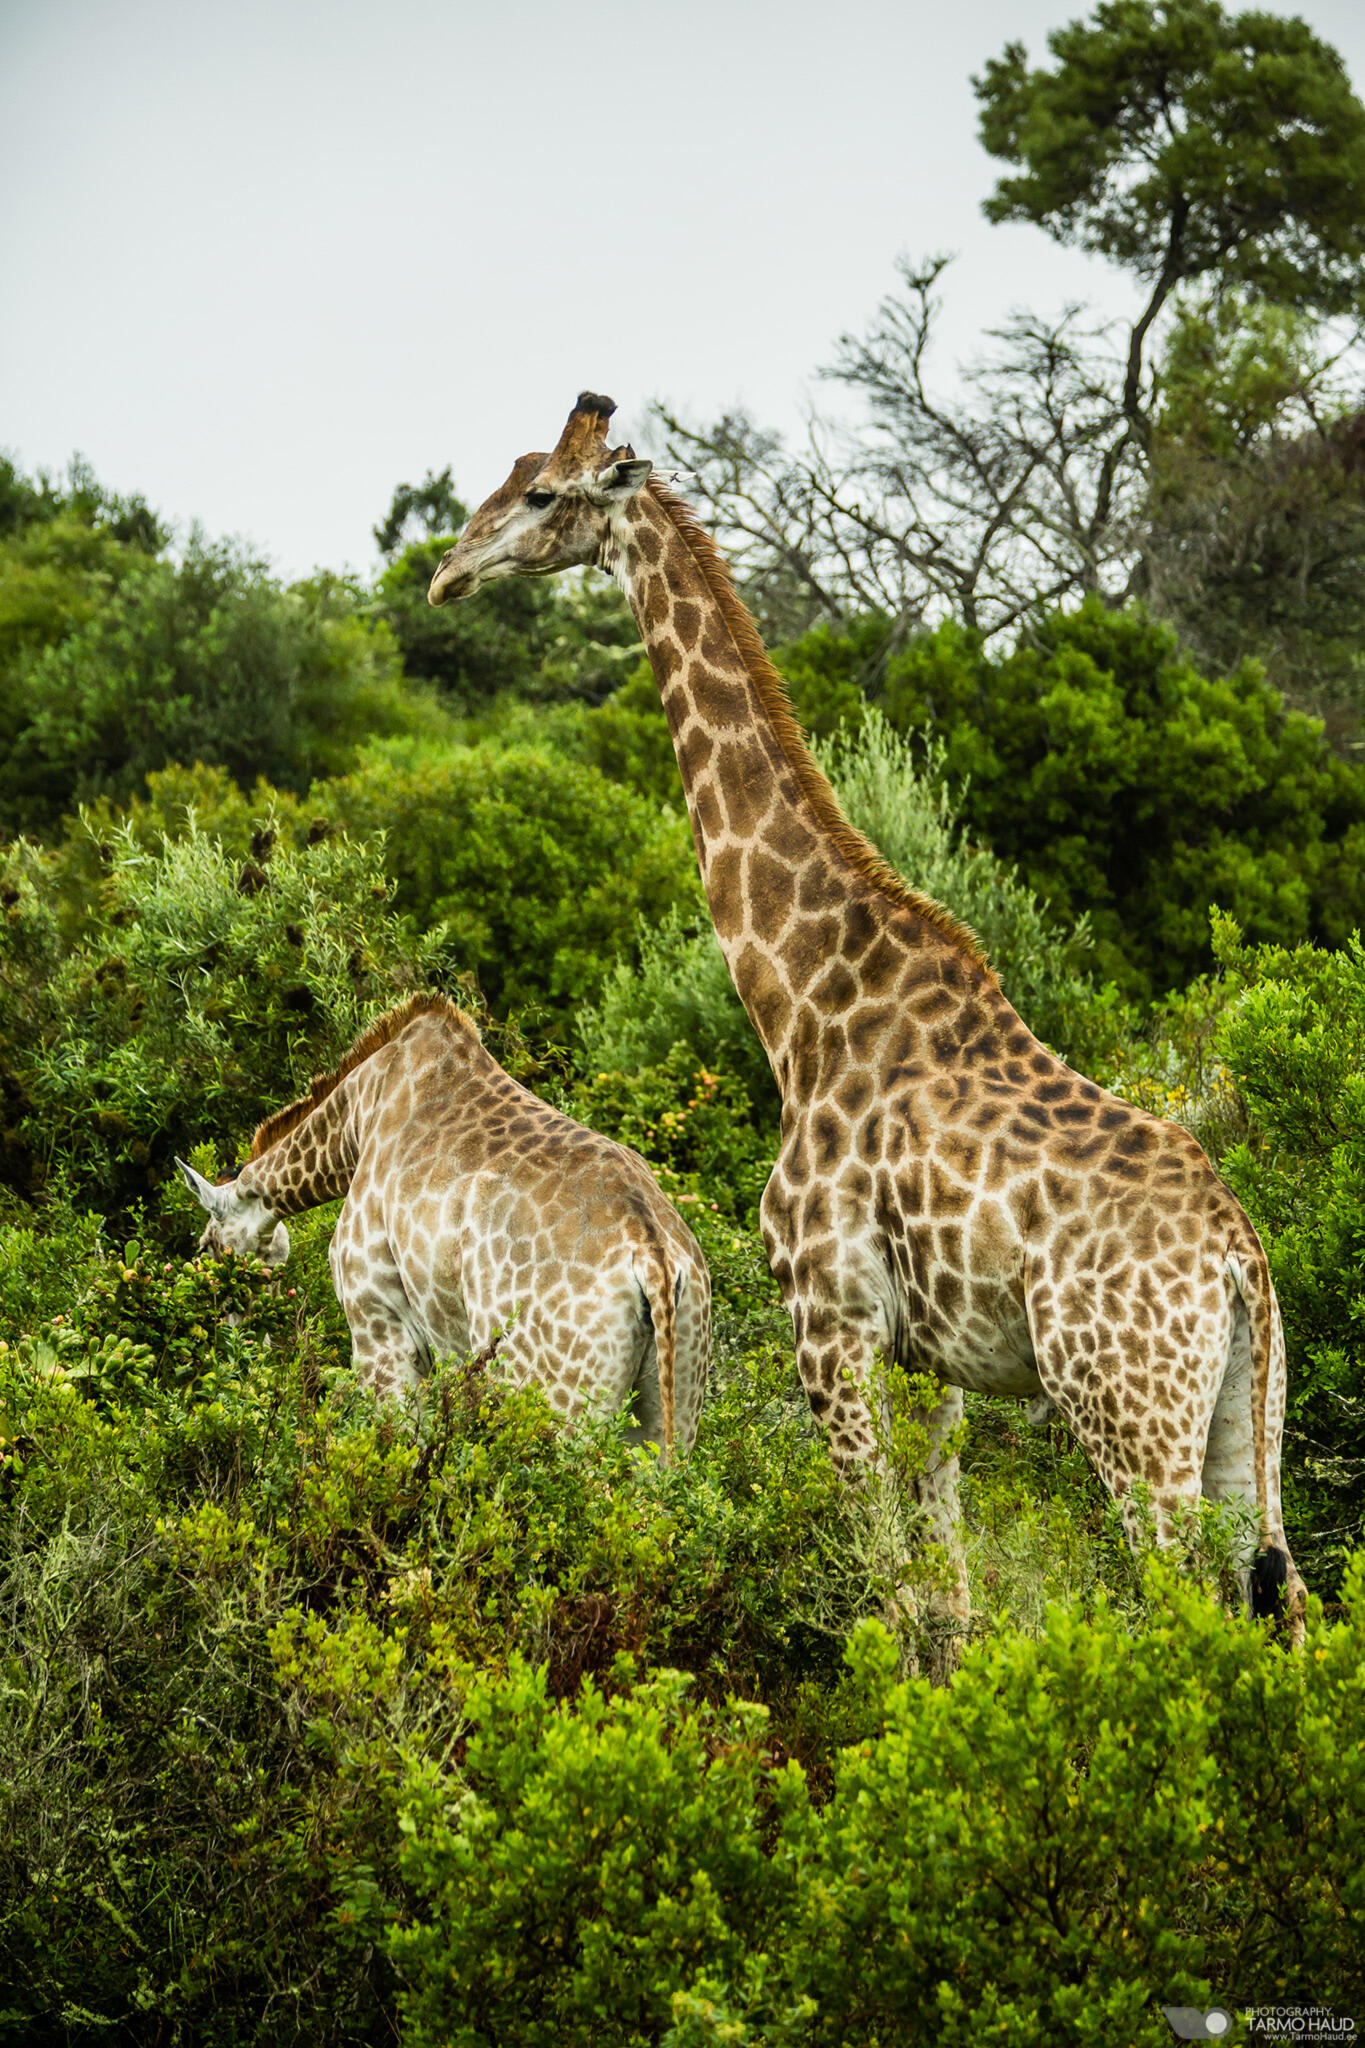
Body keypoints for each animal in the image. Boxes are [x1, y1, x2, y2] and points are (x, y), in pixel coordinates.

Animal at [176, 994, 710, 1457]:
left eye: (206, 1249)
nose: (235, 1349)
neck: (354, 1122)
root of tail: (654, 1256)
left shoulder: (377, 1325)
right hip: (673, 1408)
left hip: (556, 1403)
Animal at [426, 392, 1308, 1660]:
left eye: (542, 492)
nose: (446, 573)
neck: (804, 1000)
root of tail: (1242, 1256)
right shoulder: (931, 1358)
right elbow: (947, 1591)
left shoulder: (825, 1314)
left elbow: (879, 1580)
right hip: (1243, 1411)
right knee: (1283, 1600)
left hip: (1128, 1410)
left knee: (1184, 1599)